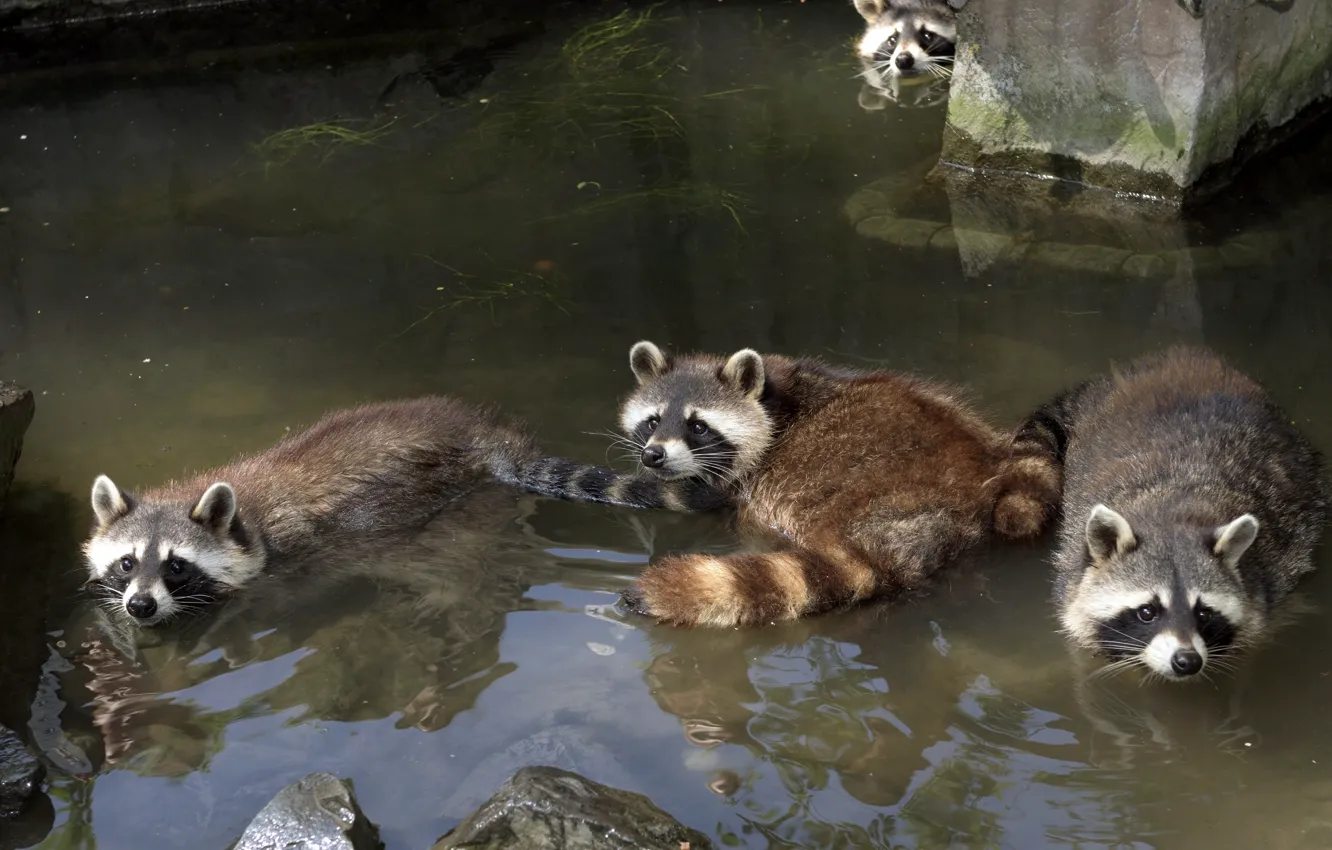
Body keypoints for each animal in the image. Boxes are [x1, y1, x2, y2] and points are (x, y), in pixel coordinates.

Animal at [84, 395, 724, 626]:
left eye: (176, 565)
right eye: (126, 563)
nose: (140, 606)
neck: (246, 522)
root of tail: (487, 437)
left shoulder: (293, 557)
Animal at [1022, 347, 1328, 681]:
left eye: (1204, 613)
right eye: (1147, 612)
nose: (1187, 660)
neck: (1173, 517)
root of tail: (1184, 357)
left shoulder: (1271, 582)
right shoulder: (1070, 573)